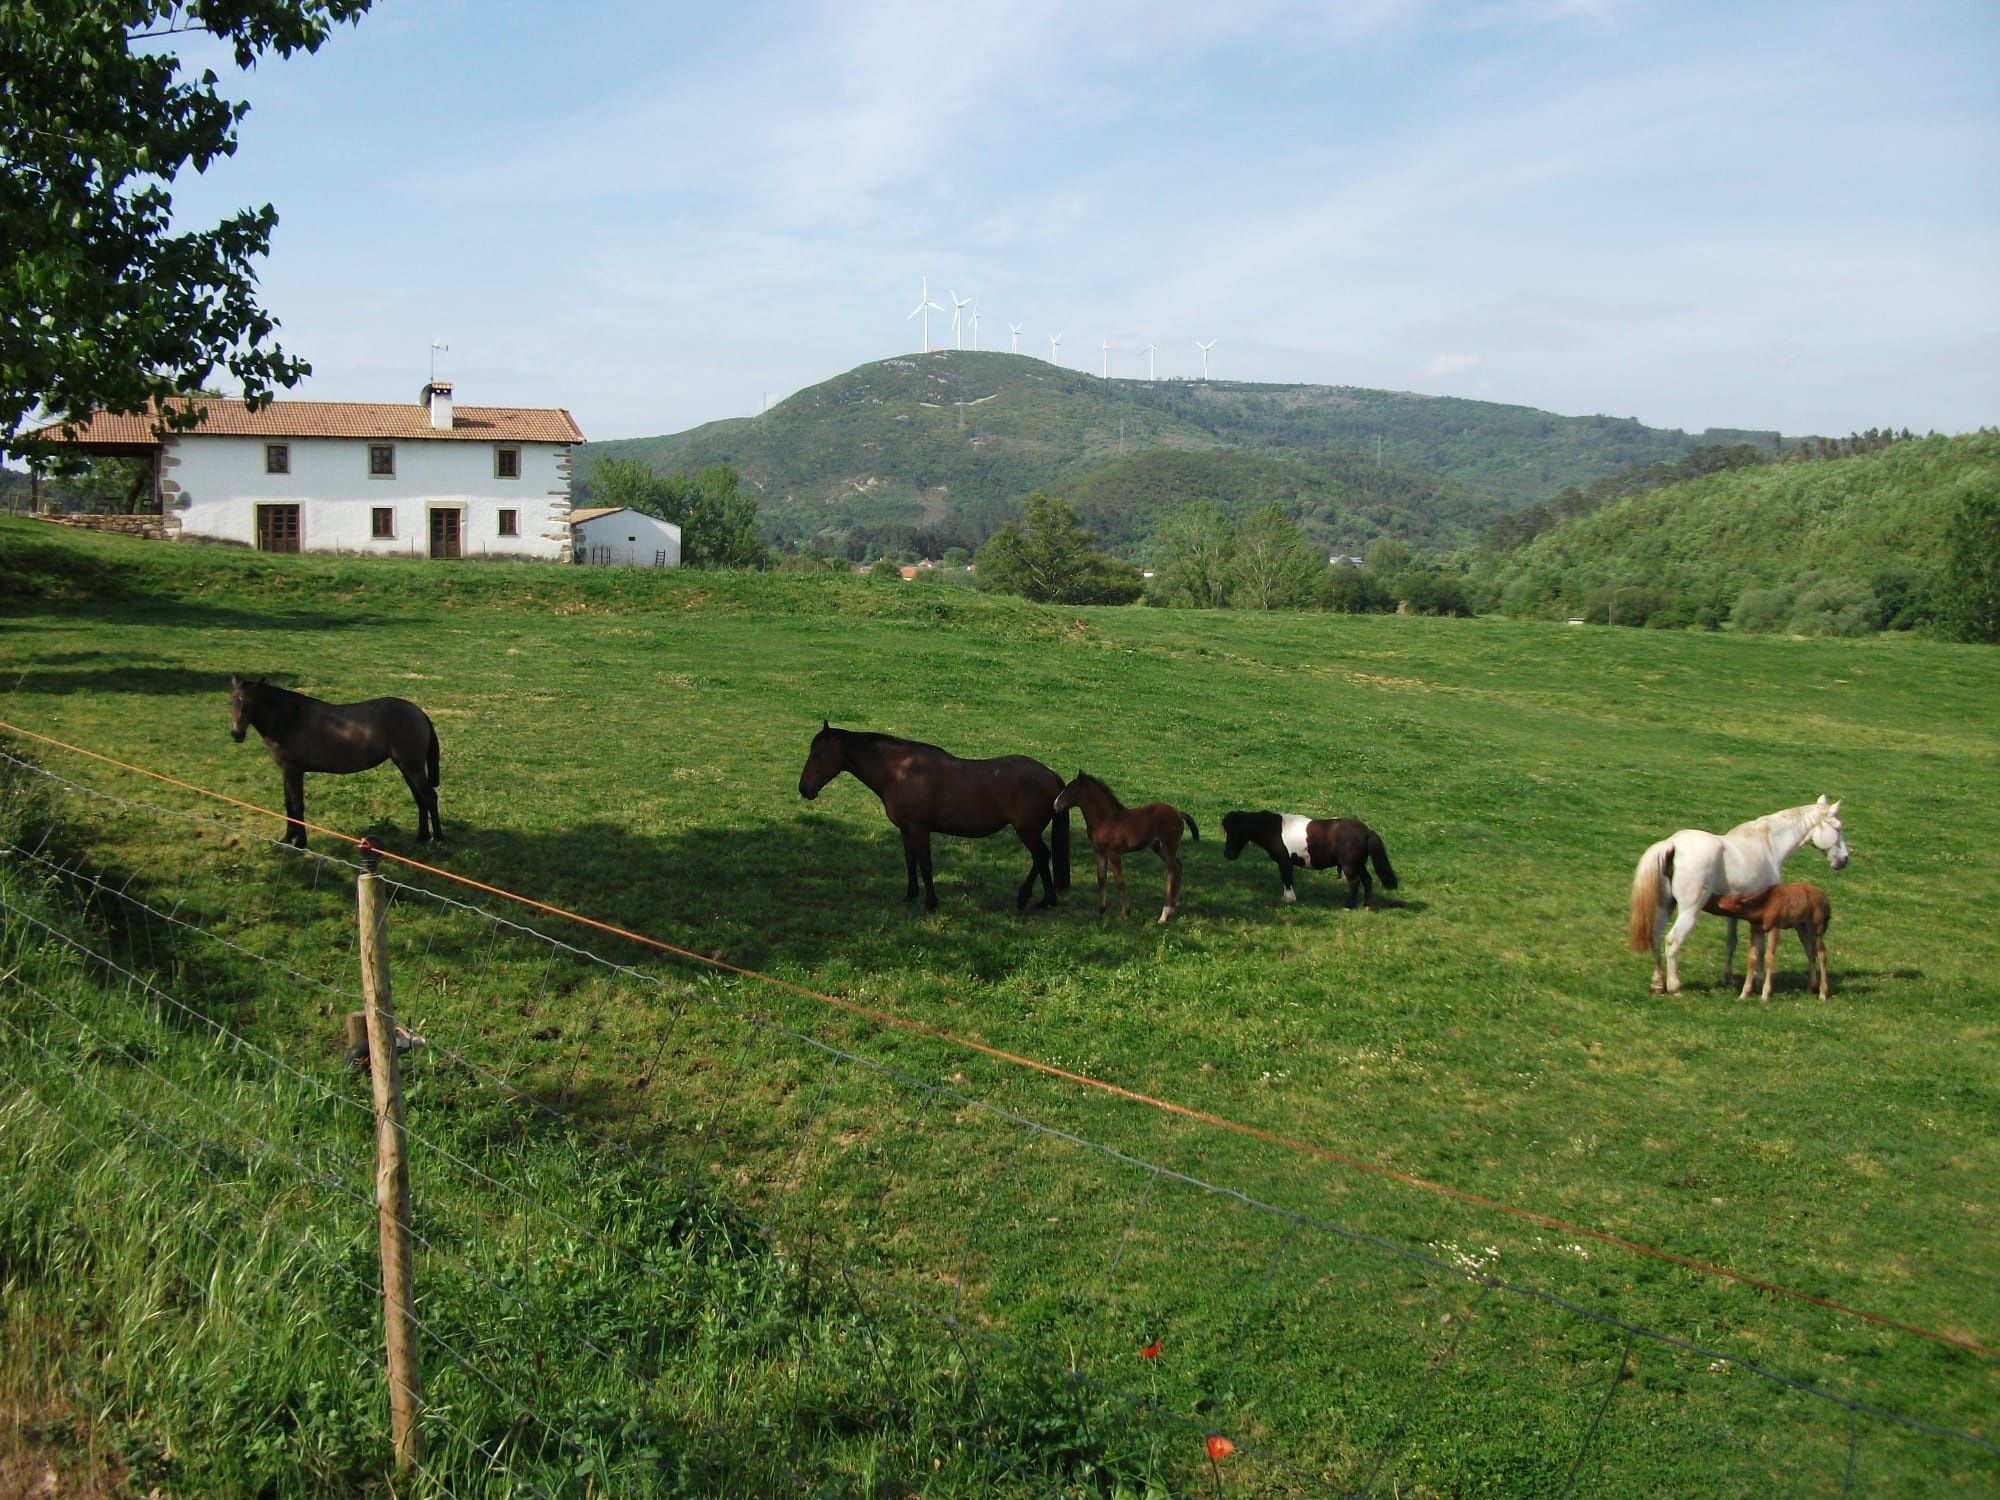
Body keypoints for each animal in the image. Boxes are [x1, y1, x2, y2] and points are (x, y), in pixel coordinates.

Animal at [230, 680, 442, 852]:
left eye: (249, 703)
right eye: (231, 702)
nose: (236, 734)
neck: (290, 719)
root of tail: (420, 714)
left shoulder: (294, 770)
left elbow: (297, 806)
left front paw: (300, 843)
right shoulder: (286, 771)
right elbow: (288, 804)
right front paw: (286, 839)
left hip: (412, 767)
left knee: (430, 796)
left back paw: (438, 839)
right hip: (406, 767)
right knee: (420, 798)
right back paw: (422, 837)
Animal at [800, 724, 1072, 912]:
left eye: (817, 755)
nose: (804, 789)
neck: (900, 772)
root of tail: (1051, 776)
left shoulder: (920, 830)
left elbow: (925, 864)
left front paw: (930, 903)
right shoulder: (905, 830)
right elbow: (910, 862)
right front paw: (910, 895)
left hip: (1027, 831)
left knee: (1041, 856)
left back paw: (1029, 897)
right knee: (1041, 859)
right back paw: (1045, 900)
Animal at [1056, 780, 1192, 924]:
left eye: (1071, 789)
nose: (1056, 804)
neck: (1106, 820)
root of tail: (1178, 812)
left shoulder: (1114, 853)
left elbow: (1119, 881)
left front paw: (1126, 913)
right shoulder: (1099, 852)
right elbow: (1101, 878)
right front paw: (1100, 911)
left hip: (1168, 845)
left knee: (1172, 872)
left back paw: (1164, 914)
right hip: (1158, 847)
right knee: (1178, 866)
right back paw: (1173, 907)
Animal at [1208, 816, 1400, 912]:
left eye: (1235, 831)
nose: (1228, 854)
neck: (1273, 828)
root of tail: (1367, 832)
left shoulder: (1284, 860)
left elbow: (1286, 878)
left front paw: (1288, 899)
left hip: (1350, 865)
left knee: (1355, 882)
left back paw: (1348, 906)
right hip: (1359, 864)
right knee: (1367, 880)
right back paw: (1367, 905)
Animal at [1624, 800, 1840, 1000]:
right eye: (1838, 828)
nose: (1843, 860)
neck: (1768, 844)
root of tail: (1672, 845)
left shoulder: (1736, 912)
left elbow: (1732, 941)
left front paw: (1728, 978)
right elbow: (1760, 949)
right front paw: (1759, 983)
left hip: (1665, 905)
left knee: (1655, 936)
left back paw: (1658, 984)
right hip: (1689, 910)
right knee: (1672, 940)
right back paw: (1674, 987)